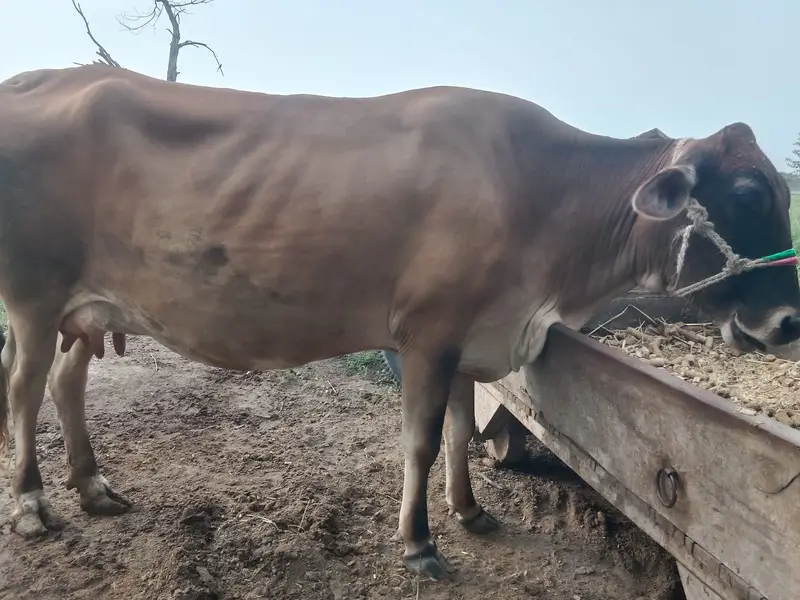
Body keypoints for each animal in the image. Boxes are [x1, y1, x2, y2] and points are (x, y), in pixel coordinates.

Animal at [0, 65, 798, 581]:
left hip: (87, 310)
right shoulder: (427, 335)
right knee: (23, 389)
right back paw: (34, 502)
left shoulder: (470, 339)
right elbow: (420, 439)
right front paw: (419, 544)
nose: (789, 322)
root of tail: (32, 79)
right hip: (34, 298)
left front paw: (470, 512)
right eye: (749, 192)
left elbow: (460, 430)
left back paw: (93, 487)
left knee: (66, 385)